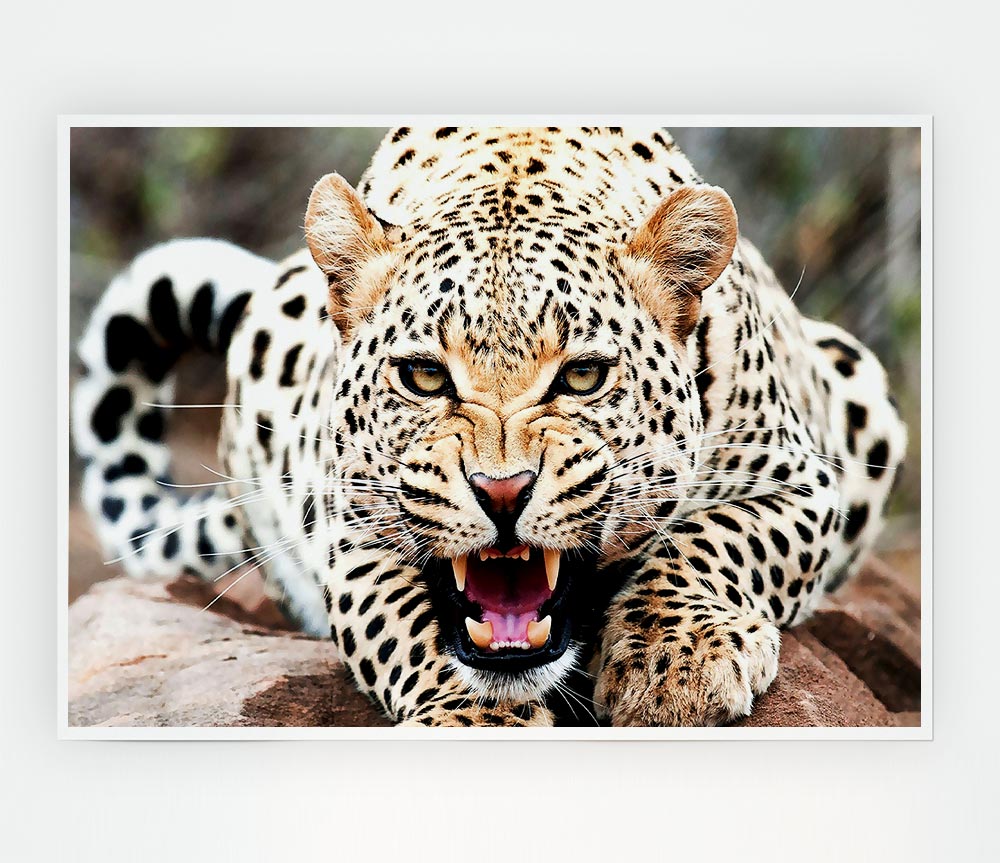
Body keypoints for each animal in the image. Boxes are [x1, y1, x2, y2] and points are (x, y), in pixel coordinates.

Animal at [72, 126, 907, 727]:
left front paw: (675, 660)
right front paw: (473, 717)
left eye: (582, 376)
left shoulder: (803, 482)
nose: (502, 492)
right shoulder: (352, 528)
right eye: (423, 376)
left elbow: (715, 539)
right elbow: (407, 624)